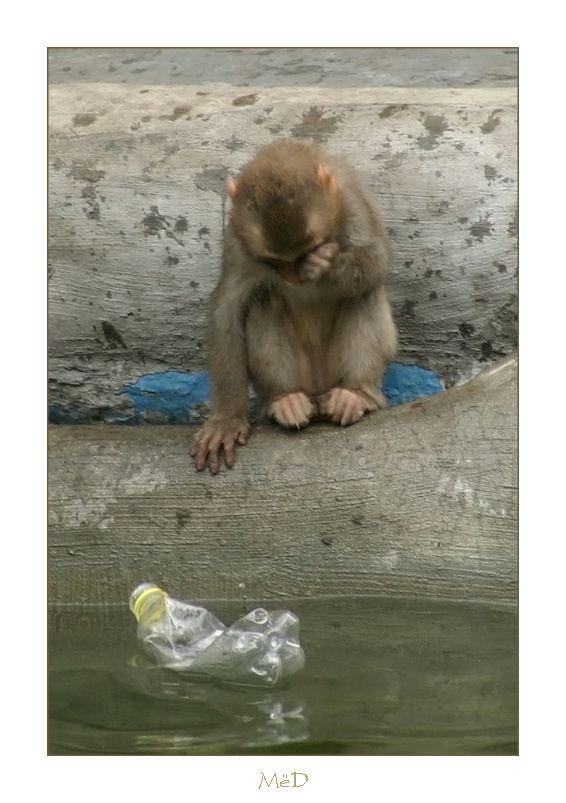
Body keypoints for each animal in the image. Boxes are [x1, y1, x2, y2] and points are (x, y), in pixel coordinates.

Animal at [190, 138, 397, 474]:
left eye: (309, 249)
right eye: (276, 262)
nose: (296, 277)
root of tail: (319, 390)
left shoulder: (352, 197)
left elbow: (376, 261)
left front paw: (329, 265)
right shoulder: (237, 236)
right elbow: (228, 306)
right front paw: (227, 420)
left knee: (363, 293)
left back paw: (356, 394)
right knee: (263, 300)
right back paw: (285, 401)